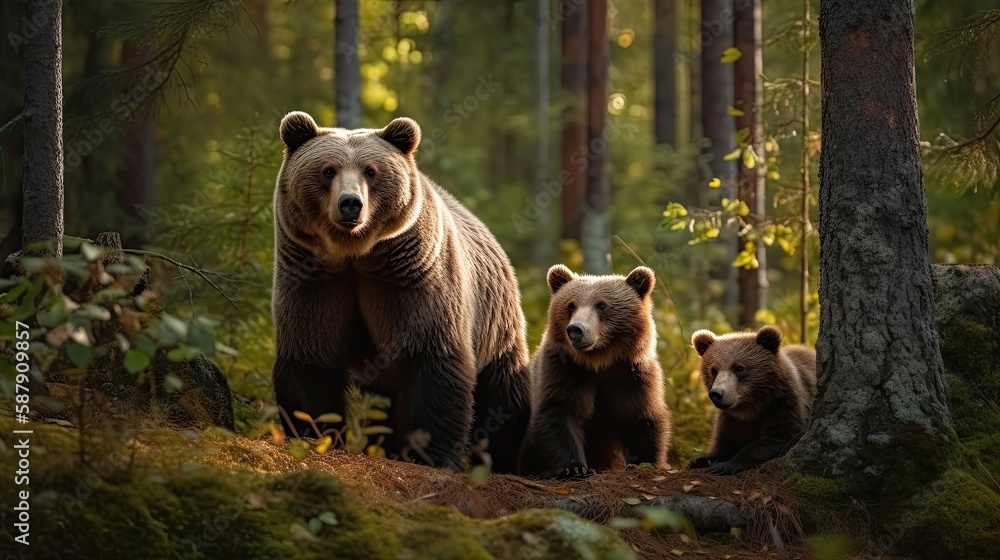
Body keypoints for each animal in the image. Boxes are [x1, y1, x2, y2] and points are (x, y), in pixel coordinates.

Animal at [271, 111, 531, 472]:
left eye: (371, 171)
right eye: (327, 170)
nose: (350, 204)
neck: (355, 254)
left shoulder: (410, 279)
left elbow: (430, 359)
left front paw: (428, 453)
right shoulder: (314, 279)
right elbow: (310, 359)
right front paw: (315, 434)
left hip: (495, 319)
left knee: (503, 391)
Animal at [519, 265, 673, 478]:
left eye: (601, 305)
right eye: (571, 305)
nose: (575, 330)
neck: (599, 362)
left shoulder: (631, 375)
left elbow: (640, 416)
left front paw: (646, 462)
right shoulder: (564, 370)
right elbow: (561, 411)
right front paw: (576, 468)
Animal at [687, 325, 817, 475]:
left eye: (739, 368)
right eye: (714, 370)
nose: (717, 393)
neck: (750, 408)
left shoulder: (784, 404)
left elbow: (782, 436)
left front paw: (725, 465)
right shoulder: (731, 420)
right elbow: (726, 443)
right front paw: (701, 460)